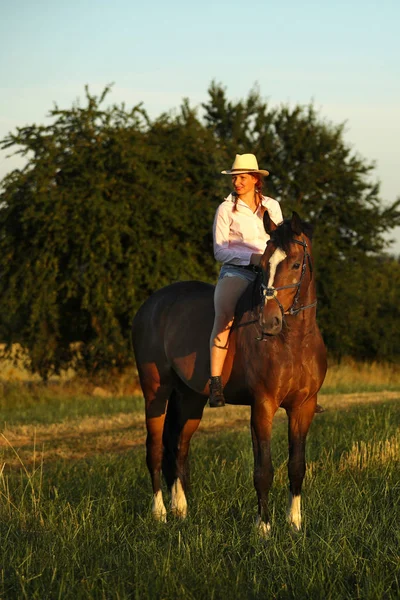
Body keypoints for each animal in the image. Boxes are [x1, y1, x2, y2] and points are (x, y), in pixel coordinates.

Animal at [133, 211, 326, 536]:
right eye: (263, 264)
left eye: (296, 264)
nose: (269, 322)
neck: (294, 340)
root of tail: (152, 304)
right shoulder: (263, 406)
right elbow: (264, 469)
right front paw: (264, 527)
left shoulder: (304, 407)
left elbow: (297, 466)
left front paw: (294, 523)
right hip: (155, 393)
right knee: (155, 449)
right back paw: (159, 512)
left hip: (190, 400)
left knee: (179, 447)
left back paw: (181, 509)